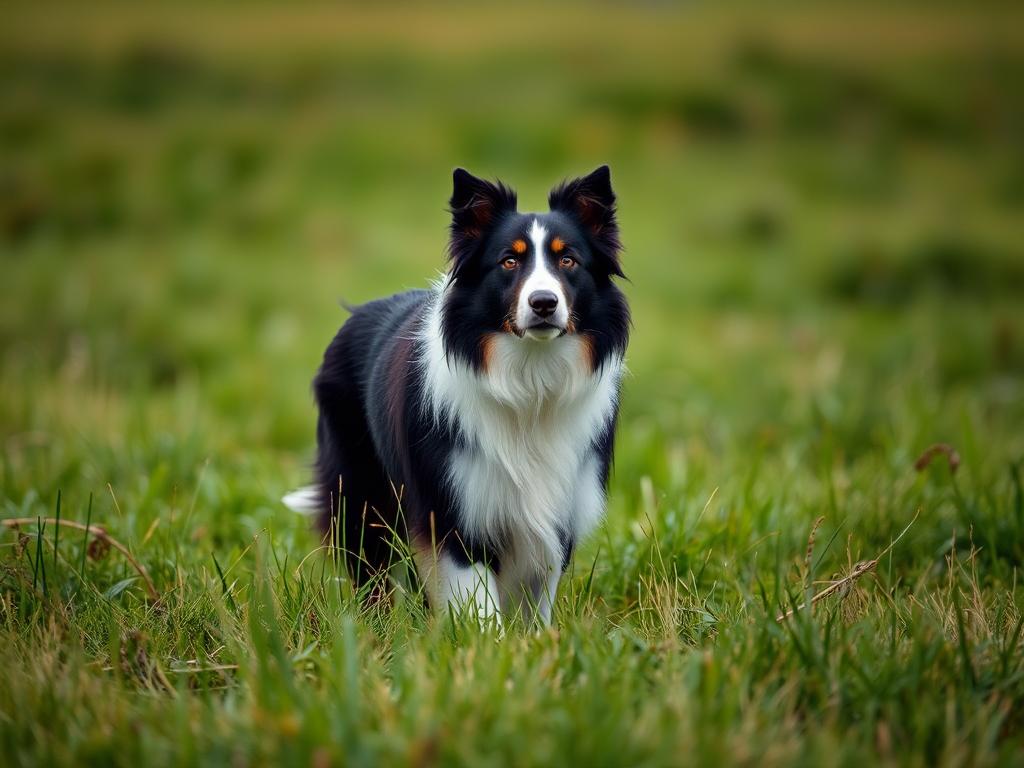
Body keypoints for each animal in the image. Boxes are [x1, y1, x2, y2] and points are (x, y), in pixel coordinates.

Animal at [284, 166, 626, 626]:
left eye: (568, 260)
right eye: (509, 260)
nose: (543, 302)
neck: (530, 382)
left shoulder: (557, 511)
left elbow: (534, 605)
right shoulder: (452, 509)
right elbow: (477, 605)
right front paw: (485, 642)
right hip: (359, 489)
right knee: (369, 567)